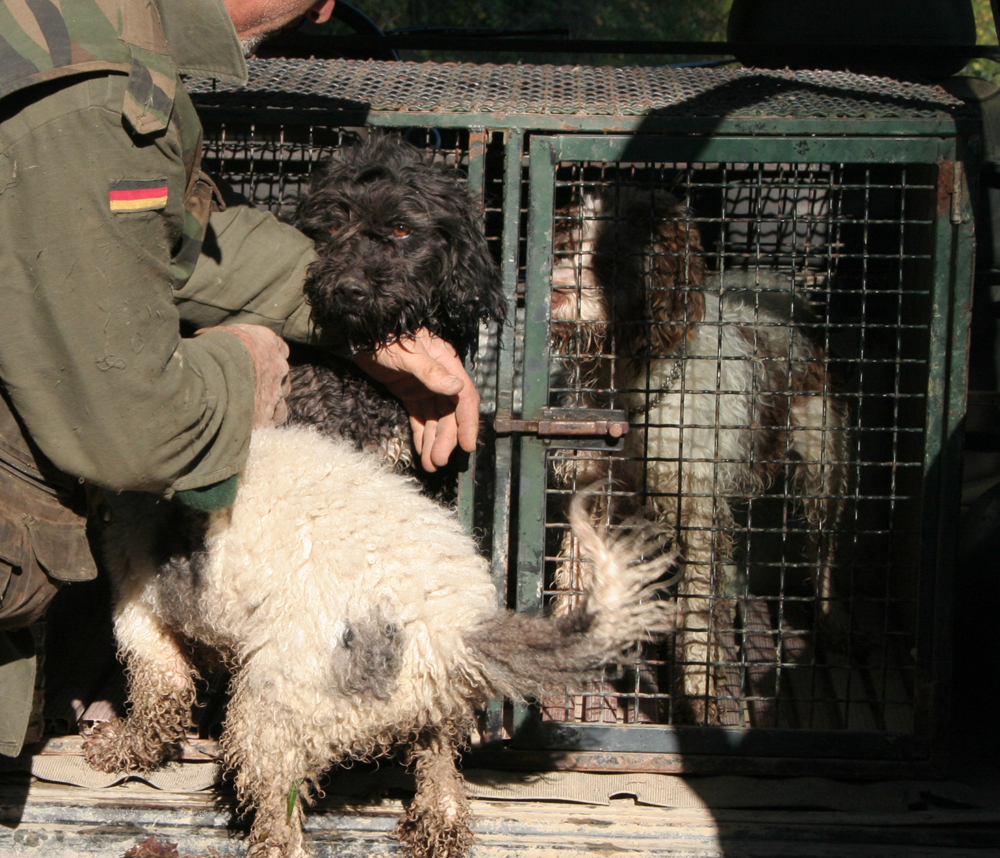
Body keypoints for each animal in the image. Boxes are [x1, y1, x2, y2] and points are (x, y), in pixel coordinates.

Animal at [552, 187, 848, 724]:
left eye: (609, 257)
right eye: (567, 242)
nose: (559, 287)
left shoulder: (696, 507)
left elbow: (695, 610)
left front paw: (699, 691)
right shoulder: (595, 490)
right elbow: (573, 572)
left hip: (823, 461)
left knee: (825, 543)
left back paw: (830, 614)